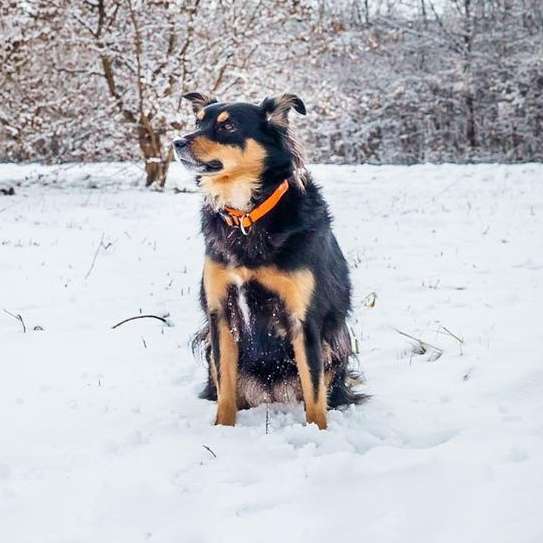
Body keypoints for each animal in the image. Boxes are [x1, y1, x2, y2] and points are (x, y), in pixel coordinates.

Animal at [174, 91, 366, 430]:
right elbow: (225, 388)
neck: (247, 214)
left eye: (228, 126)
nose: (177, 142)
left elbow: (314, 393)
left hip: (334, 344)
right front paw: (223, 430)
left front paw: (319, 433)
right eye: (198, 122)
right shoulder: (221, 314)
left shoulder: (304, 319)